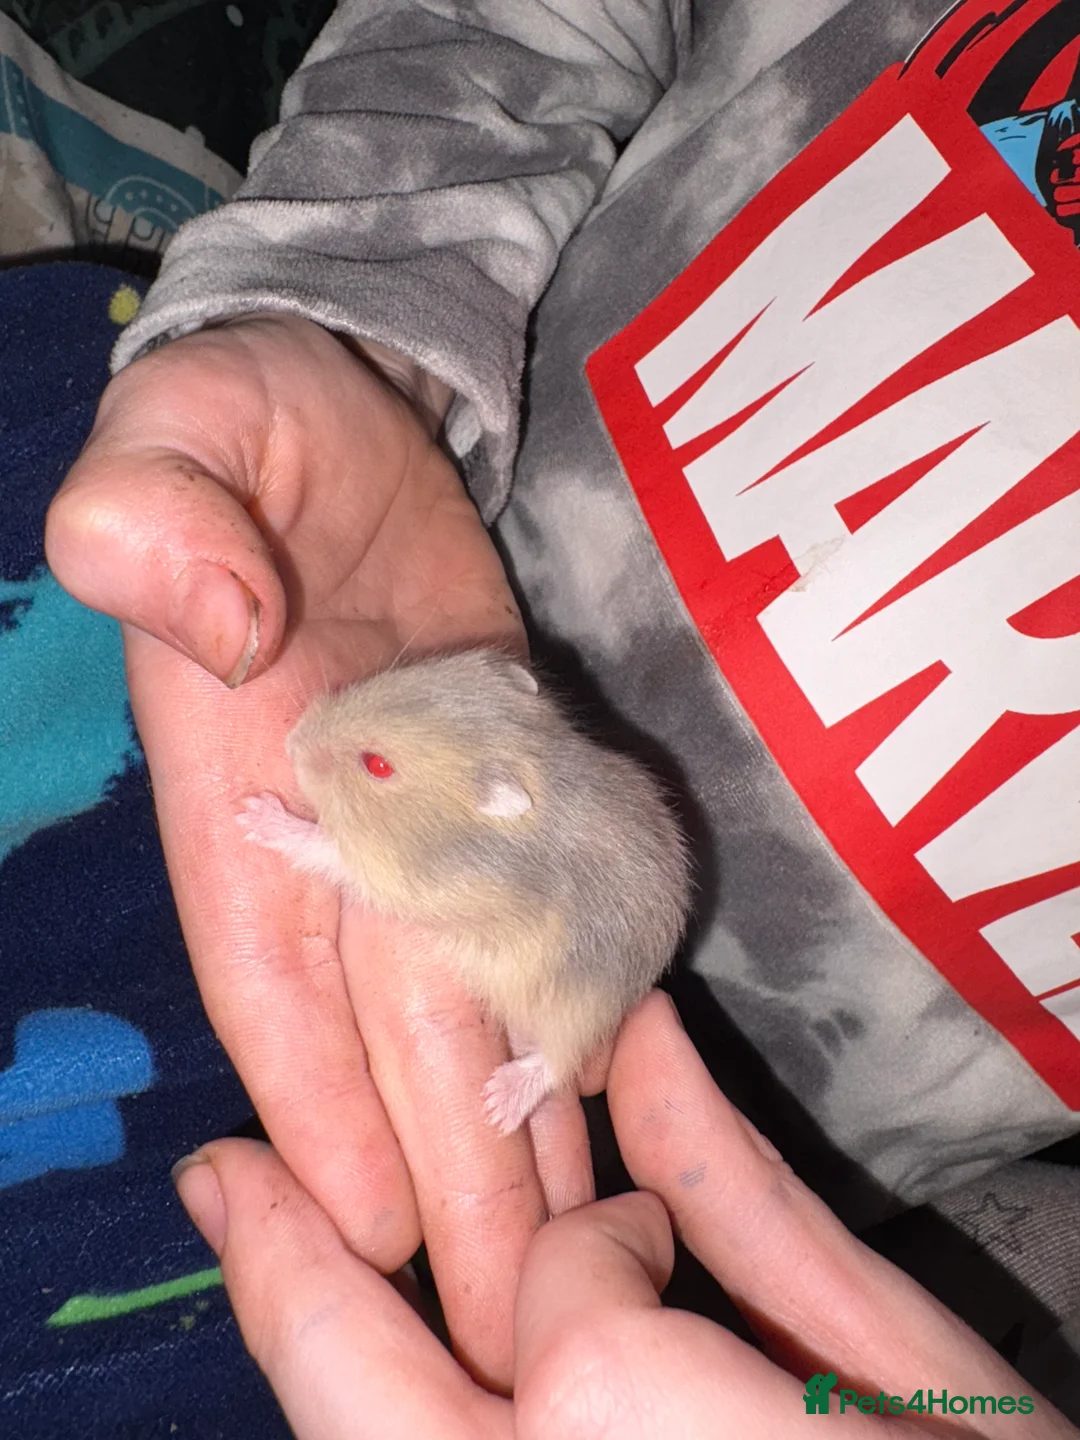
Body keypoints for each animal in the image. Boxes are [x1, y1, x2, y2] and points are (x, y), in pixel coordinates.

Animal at [238, 649, 692, 1134]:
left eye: (377, 765)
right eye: (391, 678)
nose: (292, 741)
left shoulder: (392, 874)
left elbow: (320, 847)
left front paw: (254, 814)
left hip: (581, 1008)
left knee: (557, 1061)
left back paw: (497, 1105)